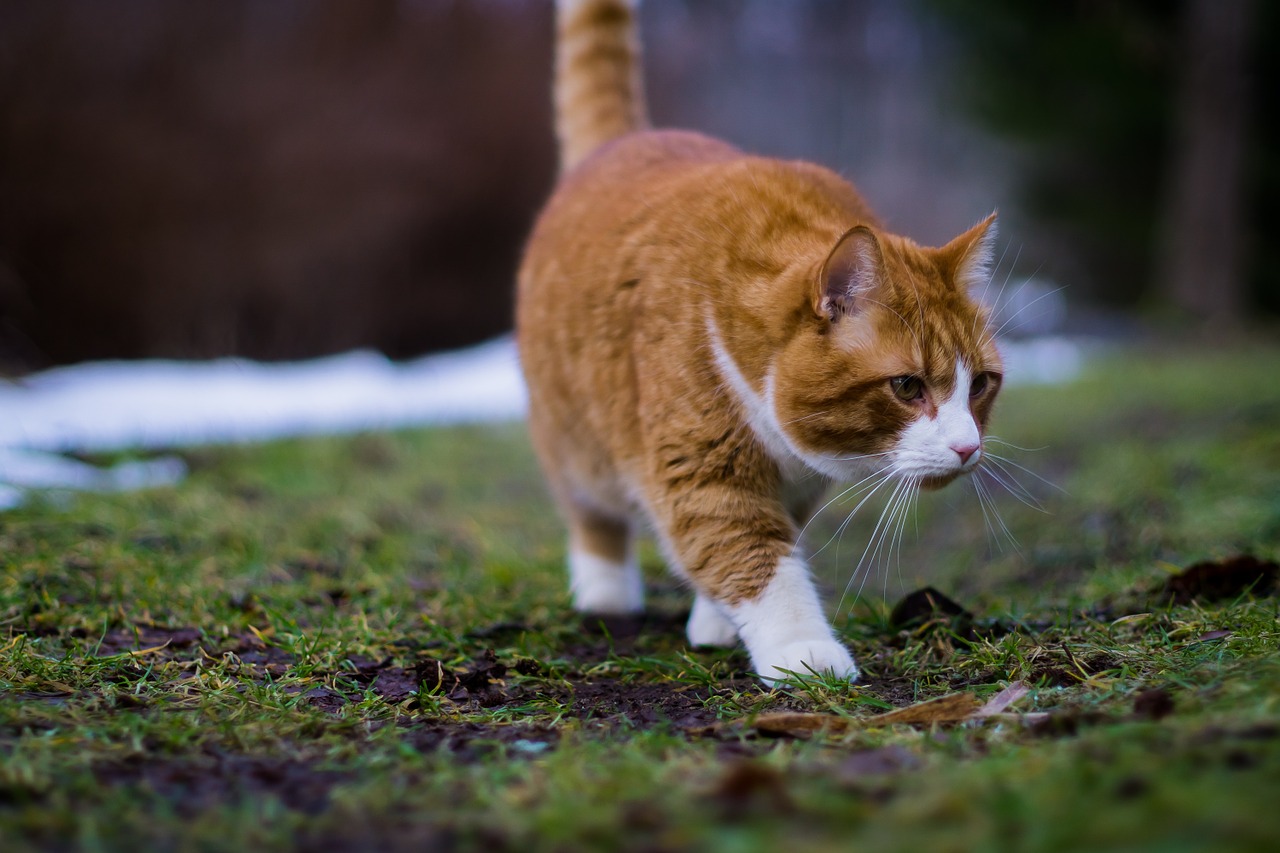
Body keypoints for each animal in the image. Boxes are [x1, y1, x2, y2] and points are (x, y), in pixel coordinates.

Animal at [514, 0, 1003, 681]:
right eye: (907, 387)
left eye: (980, 384)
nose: (967, 448)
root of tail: (623, 141)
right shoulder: (703, 469)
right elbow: (752, 554)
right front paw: (802, 651)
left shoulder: (794, 486)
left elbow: (756, 546)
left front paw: (719, 624)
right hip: (573, 435)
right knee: (590, 510)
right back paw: (605, 594)